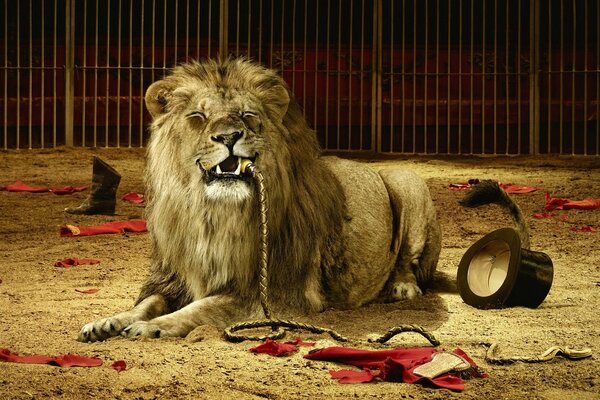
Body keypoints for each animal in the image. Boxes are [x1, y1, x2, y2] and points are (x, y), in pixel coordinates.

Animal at [77, 57, 440, 342]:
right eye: (197, 117)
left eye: (248, 115)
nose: (228, 136)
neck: (212, 215)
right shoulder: (174, 278)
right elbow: (145, 304)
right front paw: (108, 322)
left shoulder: (274, 294)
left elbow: (202, 308)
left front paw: (154, 326)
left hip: (406, 181)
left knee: (409, 259)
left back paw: (402, 288)